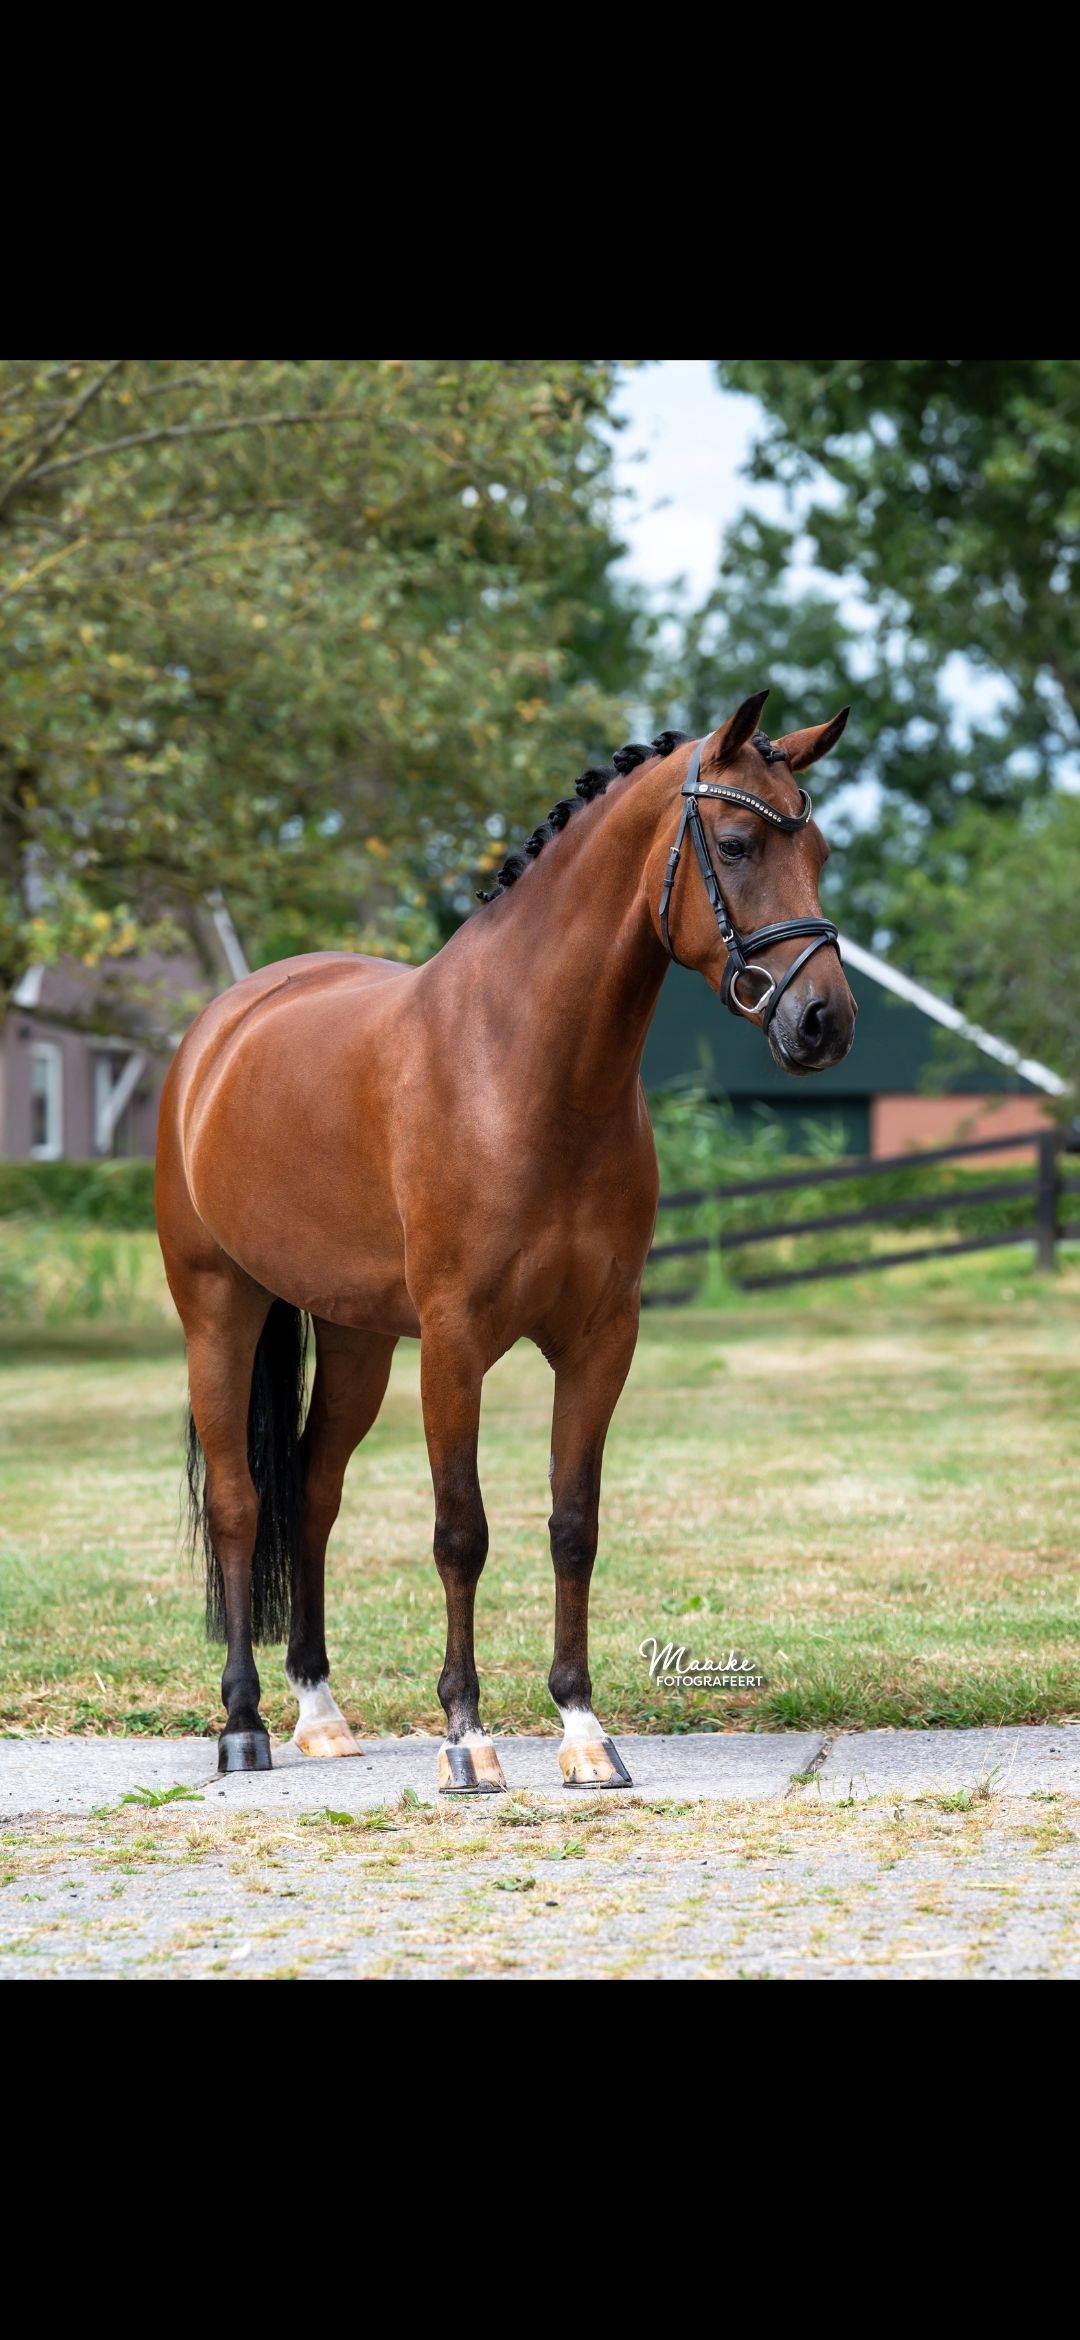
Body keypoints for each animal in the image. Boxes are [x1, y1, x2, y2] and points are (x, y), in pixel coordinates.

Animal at [155, 690, 856, 1789]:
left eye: (819, 848)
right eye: (739, 844)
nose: (824, 1021)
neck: (524, 1065)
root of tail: (218, 1032)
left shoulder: (602, 1340)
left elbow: (573, 1526)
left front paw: (583, 1731)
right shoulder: (455, 1345)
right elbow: (461, 1532)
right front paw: (467, 1738)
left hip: (354, 1337)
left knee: (311, 1491)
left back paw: (321, 1710)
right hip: (218, 1307)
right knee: (239, 1500)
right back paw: (244, 1725)